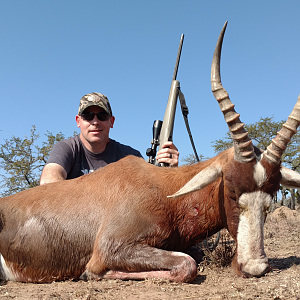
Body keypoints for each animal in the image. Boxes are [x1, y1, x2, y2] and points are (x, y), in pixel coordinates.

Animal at [0, 22, 300, 282]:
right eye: (232, 192)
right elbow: (186, 264)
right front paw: (90, 274)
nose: (254, 266)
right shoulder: (110, 248)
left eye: (270, 197)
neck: (163, 190)